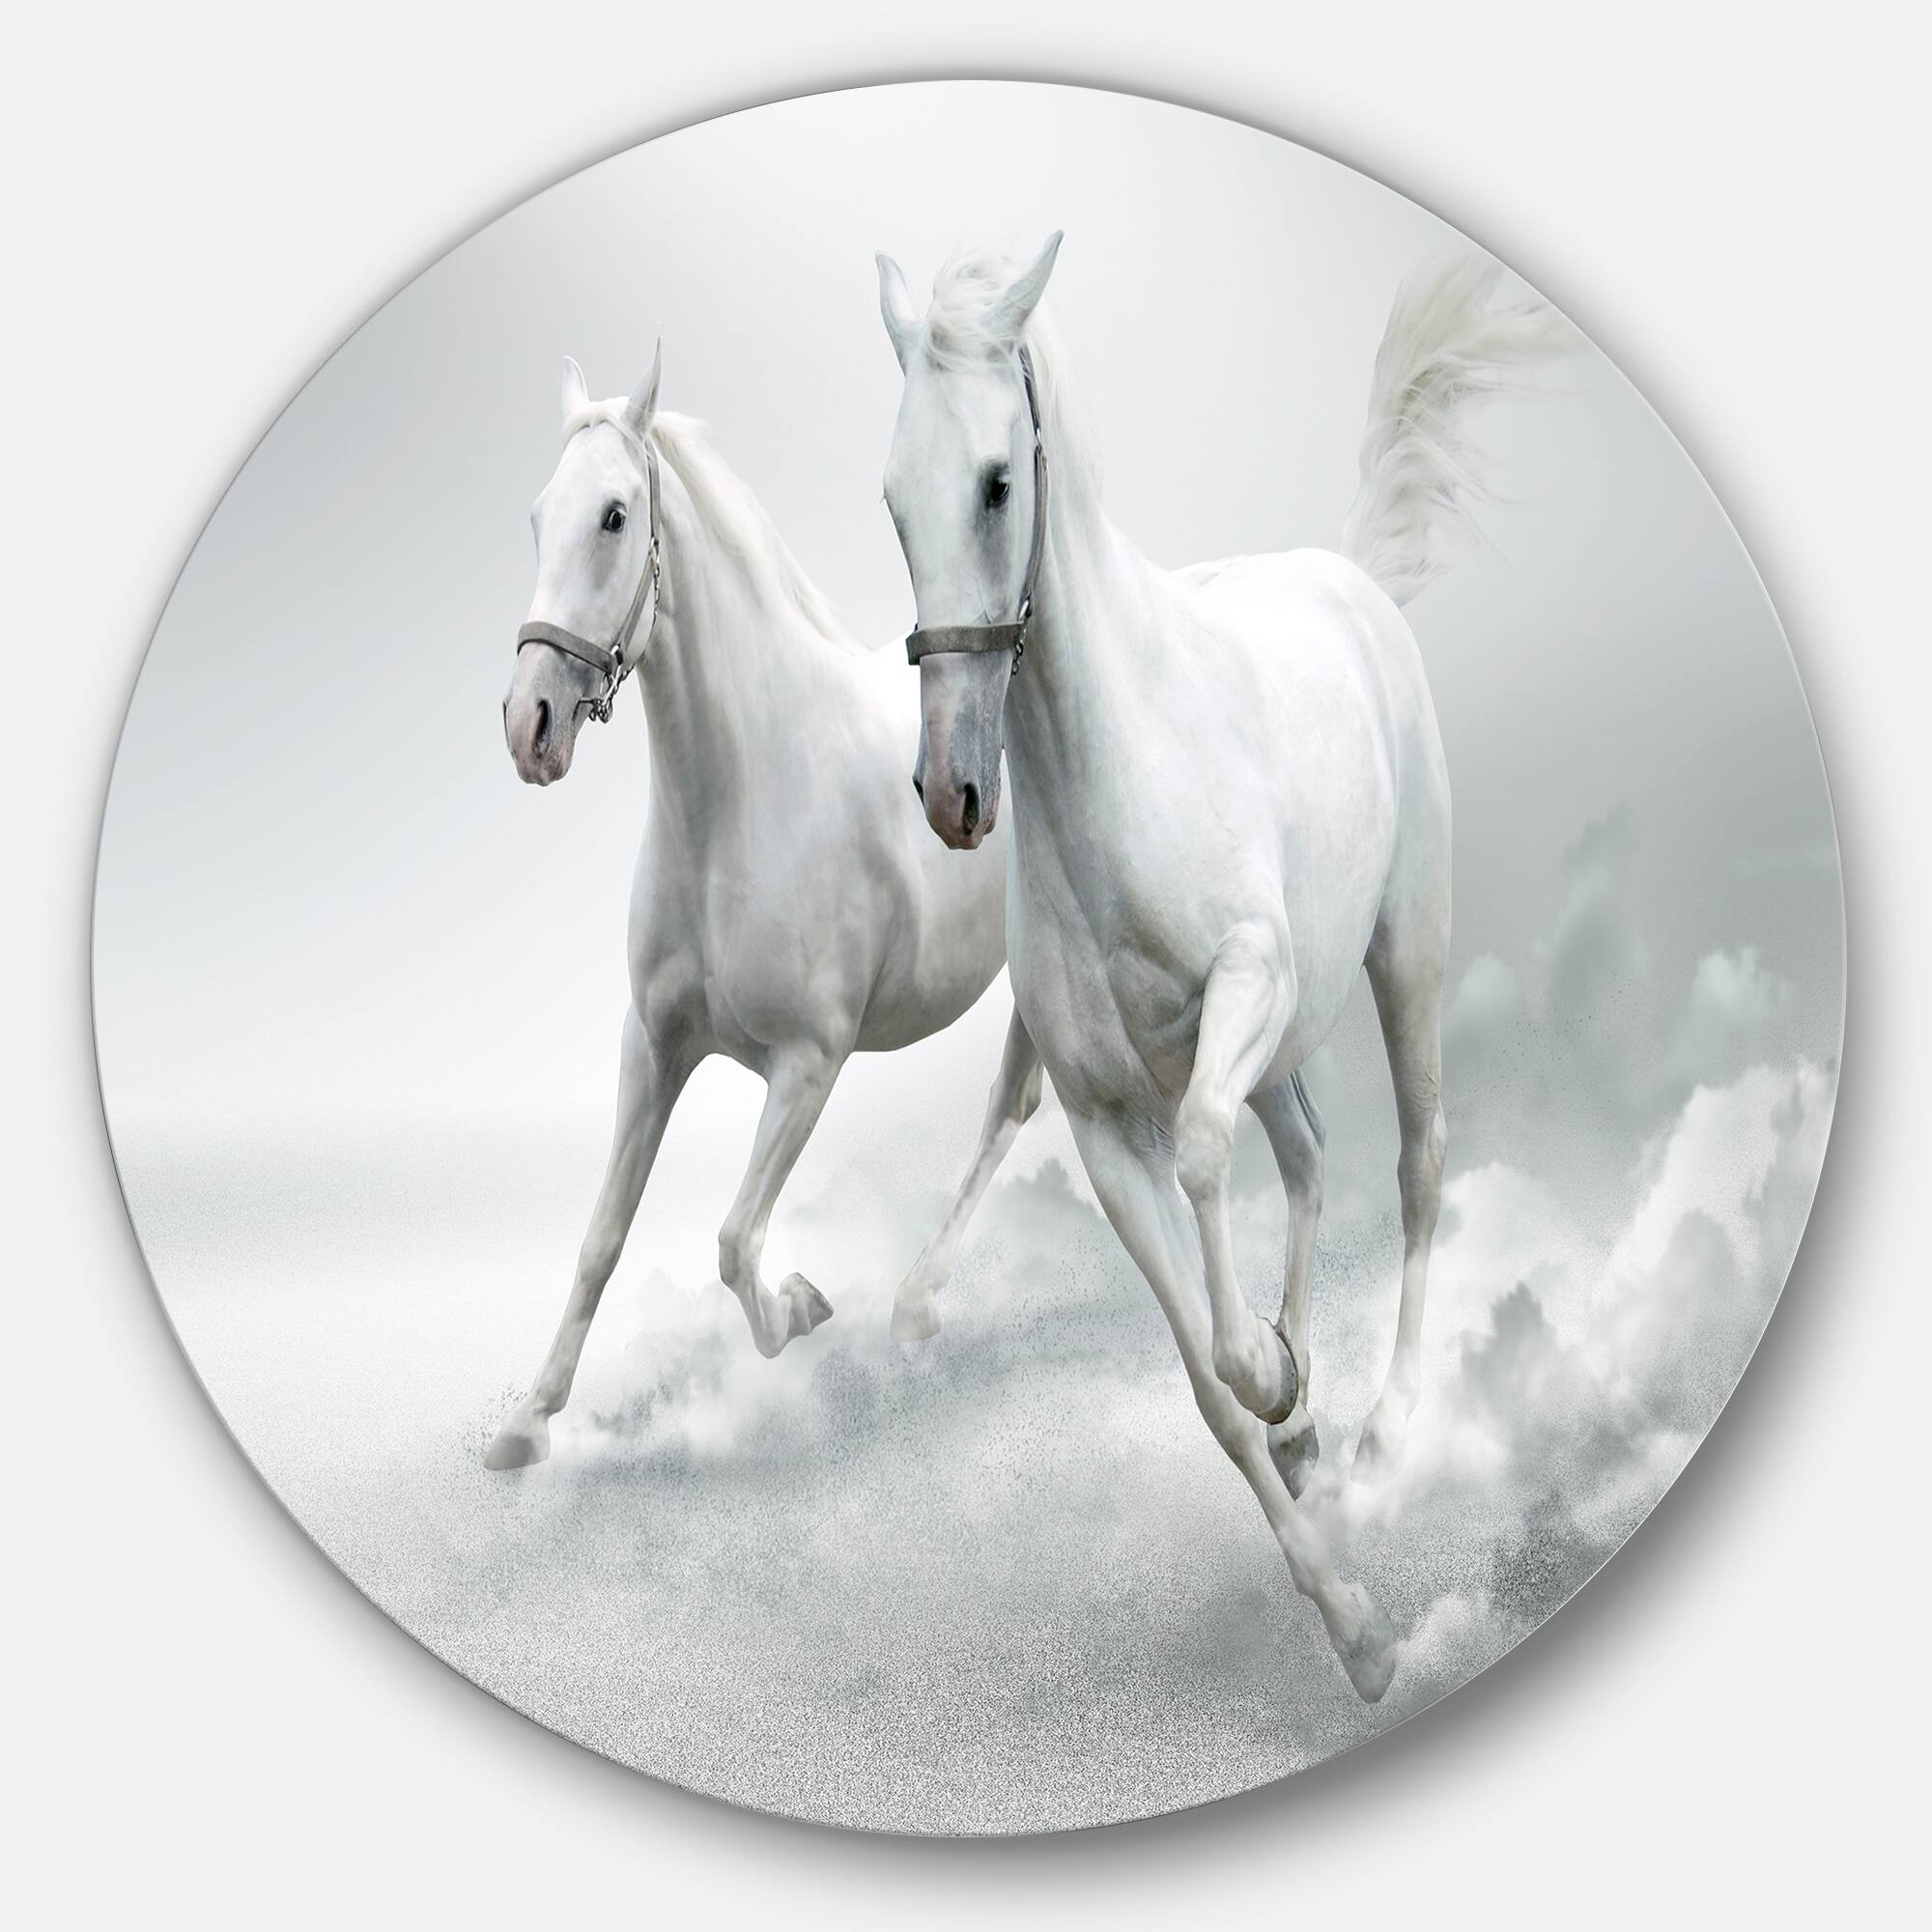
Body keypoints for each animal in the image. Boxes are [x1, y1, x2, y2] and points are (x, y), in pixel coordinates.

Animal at [487, 348, 1041, 1470]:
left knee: (1011, 1107)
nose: (530, 725)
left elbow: (736, 1241)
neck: (740, 801)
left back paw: (915, 1302)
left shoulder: (807, 1063)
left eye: (614, 515)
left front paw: (800, 1305)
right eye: (536, 515)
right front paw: (526, 1421)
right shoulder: (651, 1047)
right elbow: (601, 1236)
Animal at [873, 238, 1570, 1698]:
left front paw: (1272, 1367)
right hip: (1292, 1039)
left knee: (1417, 1162)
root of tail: (1348, 580)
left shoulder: (1243, 990)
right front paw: (1354, 1627)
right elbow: (1201, 1389)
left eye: (998, 480)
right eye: (893, 501)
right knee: (1305, 1150)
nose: (953, 792)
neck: (1113, 775)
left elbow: (1205, 1161)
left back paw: (1384, 1425)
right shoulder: (1101, 1122)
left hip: (1399, 953)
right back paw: (1314, 1420)